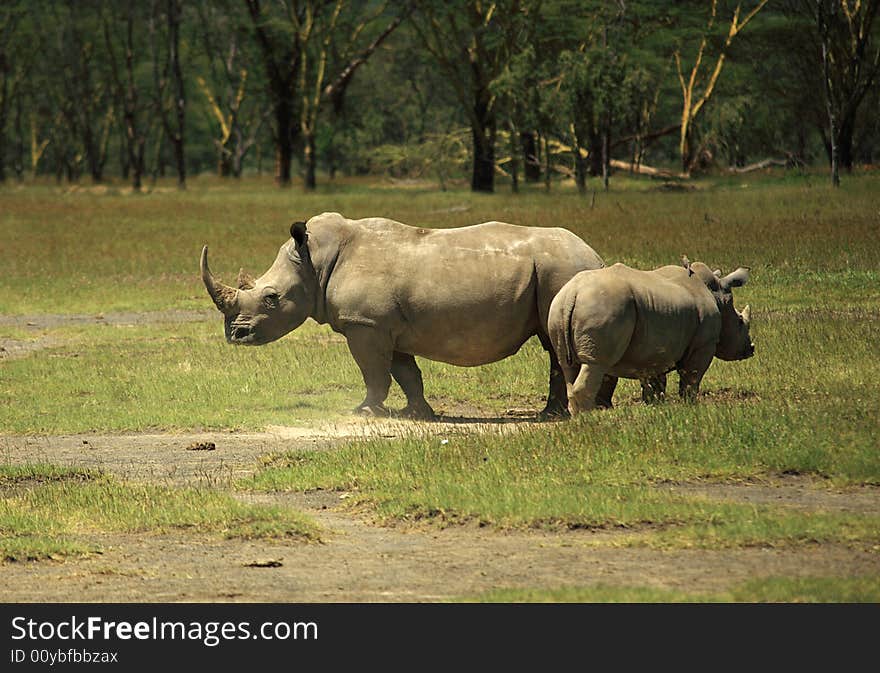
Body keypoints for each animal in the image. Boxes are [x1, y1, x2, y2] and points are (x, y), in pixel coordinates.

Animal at [199, 213, 604, 418]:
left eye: (271, 298)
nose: (235, 336)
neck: (315, 262)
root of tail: (594, 254)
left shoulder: (364, 324)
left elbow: (374, 372)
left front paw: (364, 411)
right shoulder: (384, 325)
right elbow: (405, 372)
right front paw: (420, 413)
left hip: (560, 269)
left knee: (554, 344)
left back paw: (553, 416)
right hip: (561, 269)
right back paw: (576, 410)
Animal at [548, 258, 752, 414]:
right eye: (740, 322)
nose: (750, 349)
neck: (717, 296)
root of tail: (572, 293)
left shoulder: (655, 350)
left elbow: (655, 382)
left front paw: (655, 406)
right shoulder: (704, 344)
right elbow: (692, 378)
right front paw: (690, 406)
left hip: (559, 309)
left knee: (568, 366)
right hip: (603, 305)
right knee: (595, 364)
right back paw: (589, 418)